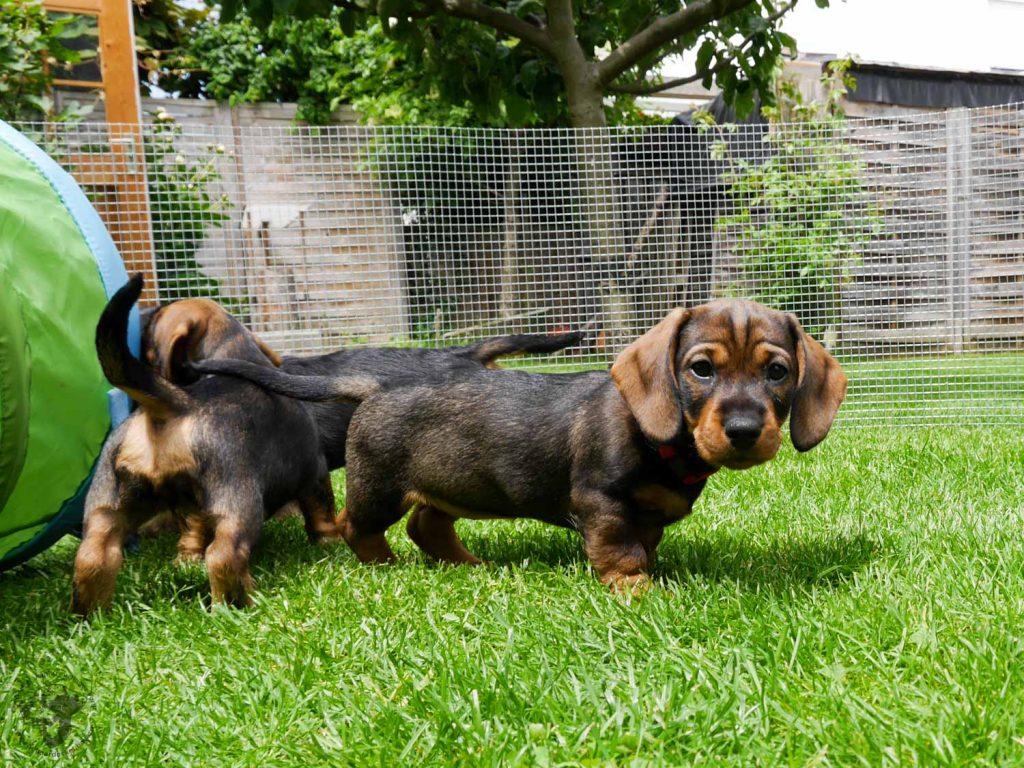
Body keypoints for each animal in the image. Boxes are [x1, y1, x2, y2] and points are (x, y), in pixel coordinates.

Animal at [72, 276, 335, 618]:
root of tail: (175, 403)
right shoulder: (315, 471)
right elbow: (322, 513)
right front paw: (330, 544)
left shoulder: (193, 508)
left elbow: (192, 535)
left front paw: (186, 560)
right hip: (238, 502)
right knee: (224, 555)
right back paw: (237, 605)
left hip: (112, 502)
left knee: (94, 555)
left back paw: (90, 615)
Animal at [193, 301, 847, 589]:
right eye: (701, 369)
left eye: (778, 372)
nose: (743, 430)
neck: (664, 443)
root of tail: (375, 385)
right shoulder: (600, 502)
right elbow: (621, 551)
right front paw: (636, 591)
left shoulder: (647, 515)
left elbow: (646, 541)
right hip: (377, 488)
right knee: (359, 527)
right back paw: (387, 567)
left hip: (451, 485)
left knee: (428, 525)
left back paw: (467, 565)